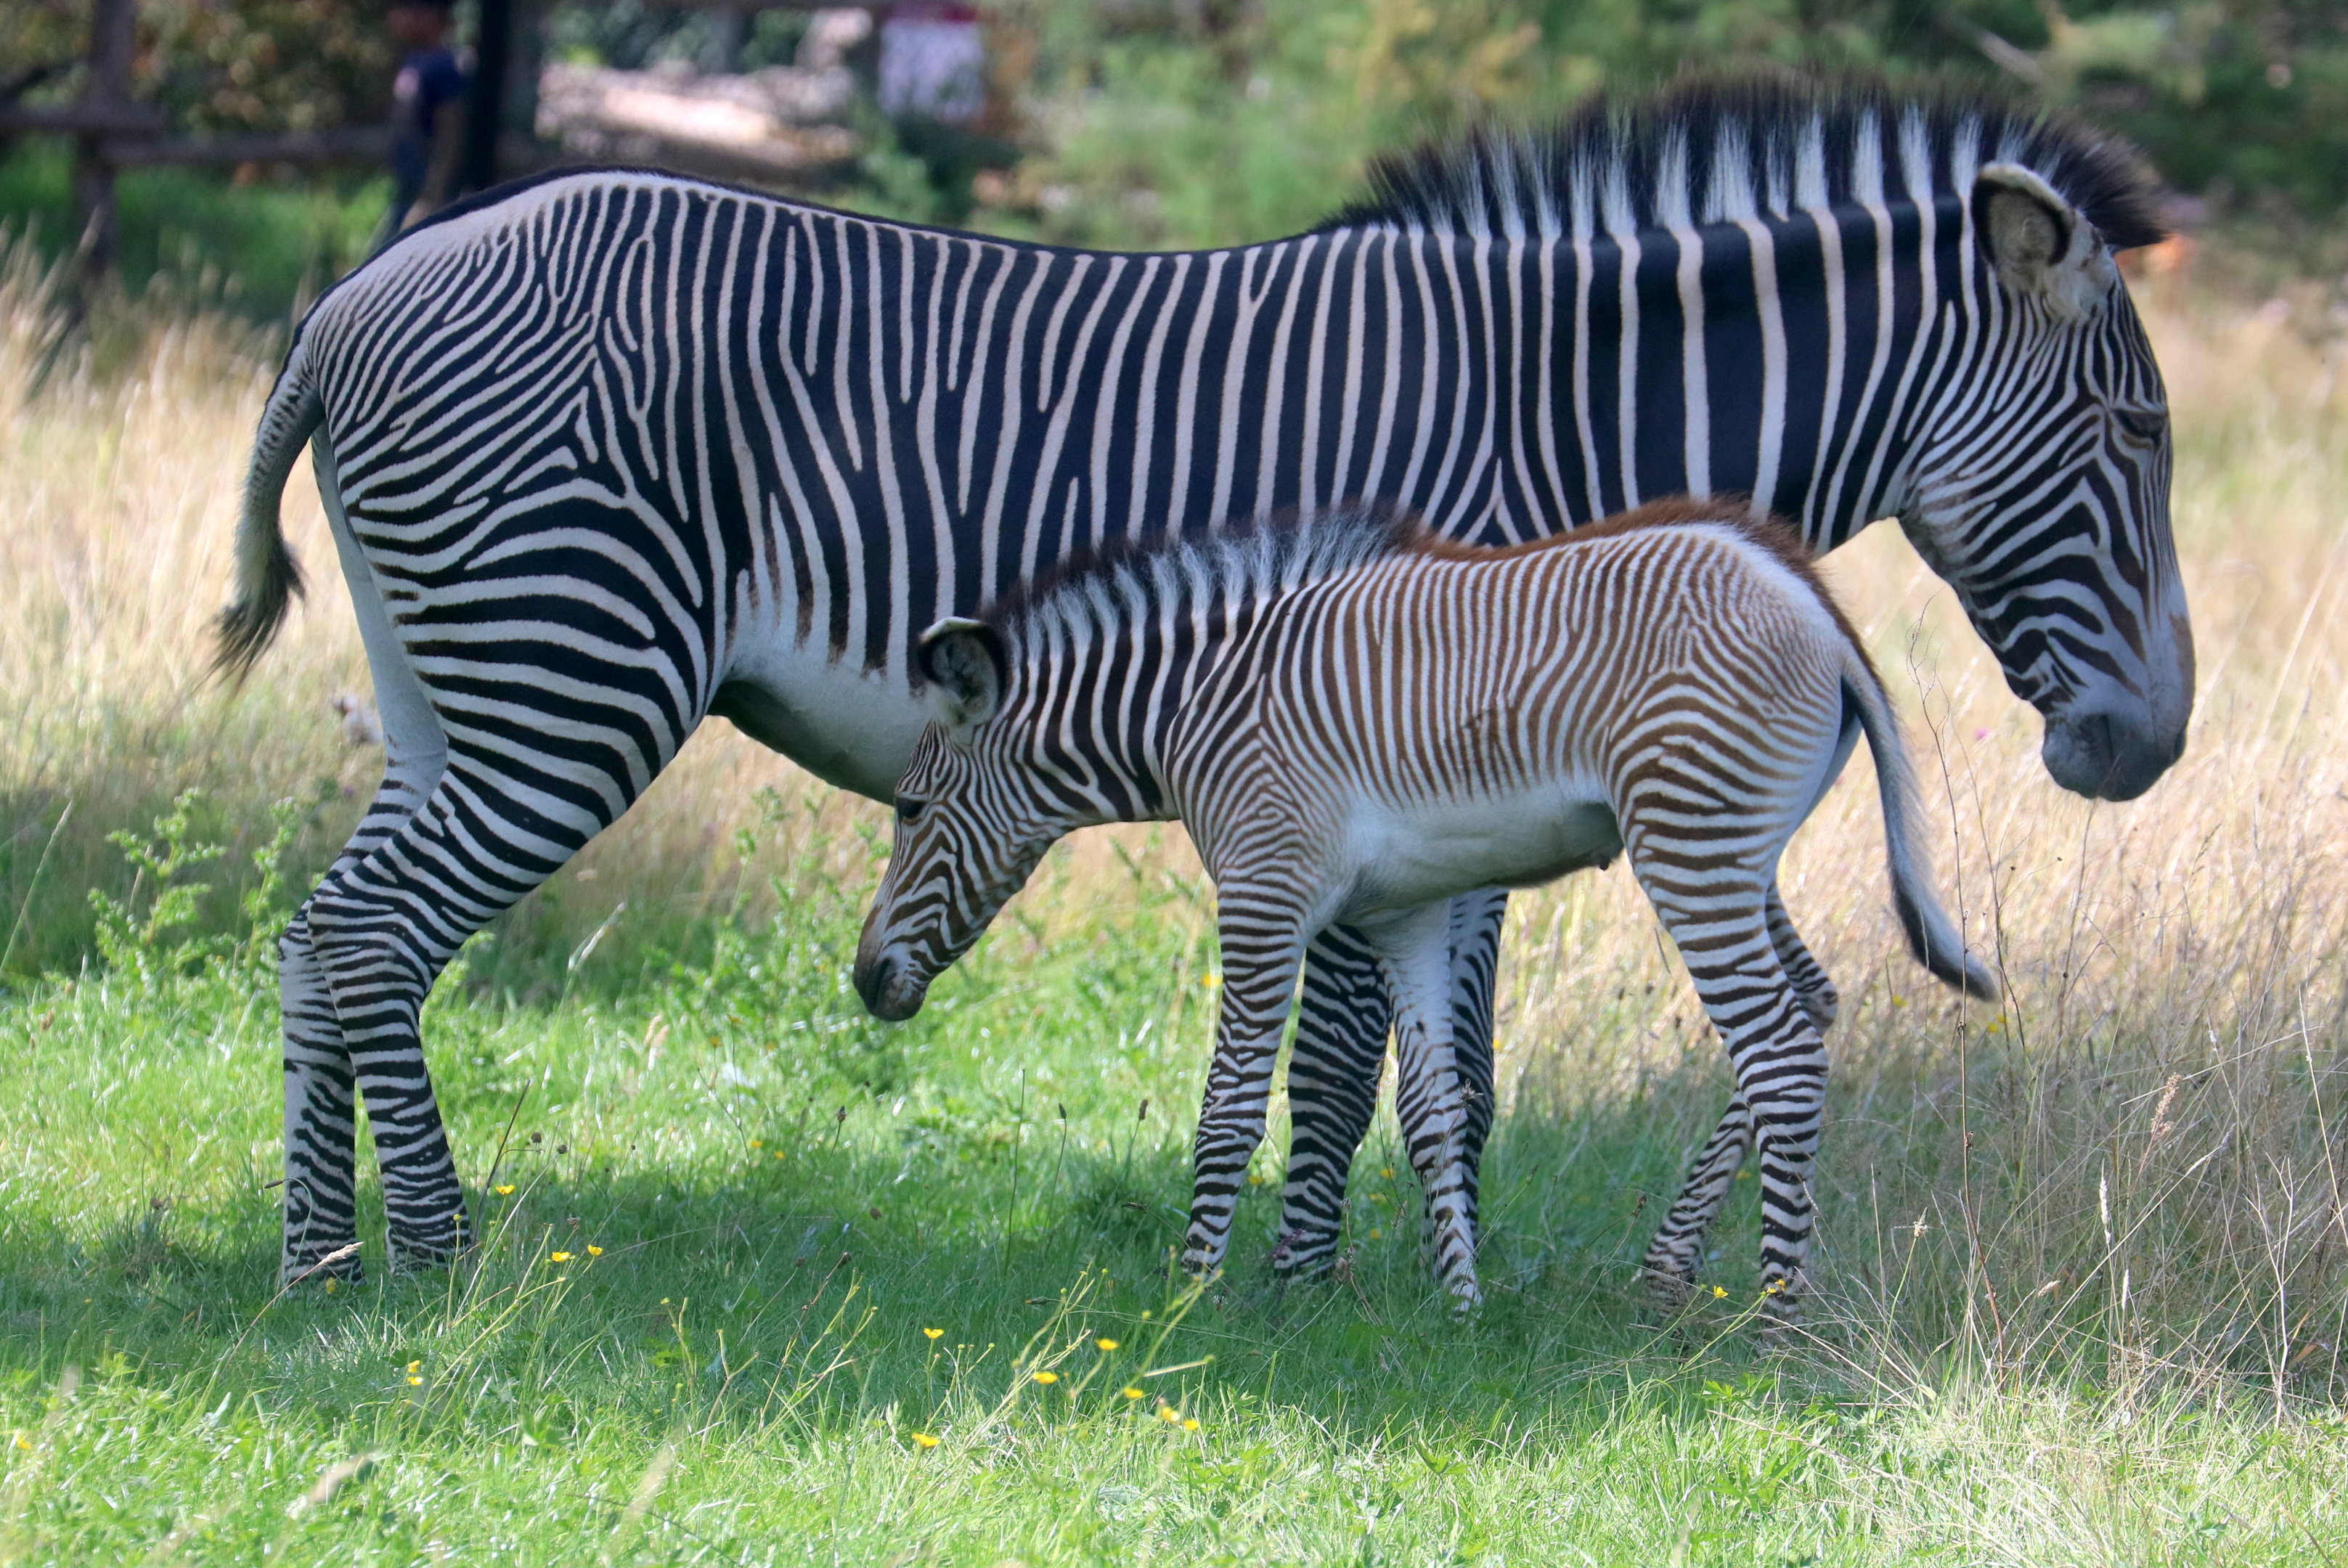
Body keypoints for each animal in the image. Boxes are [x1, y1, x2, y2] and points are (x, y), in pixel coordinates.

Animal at [852, 501, 1998, 1318]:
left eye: (908, 808)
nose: (865, 980)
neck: (1193, 706)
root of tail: (1813, 601)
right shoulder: (1404, 910)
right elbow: (1434, 1110)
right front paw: (1459, 1303)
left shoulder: (1265, 890)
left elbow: (1228, 1108)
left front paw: (1189, 1297)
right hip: (1738, 853)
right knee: (1812, 1007)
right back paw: (1673, 1272)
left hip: (1690, 844)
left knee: (1779, 1052)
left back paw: (1773, 1319)